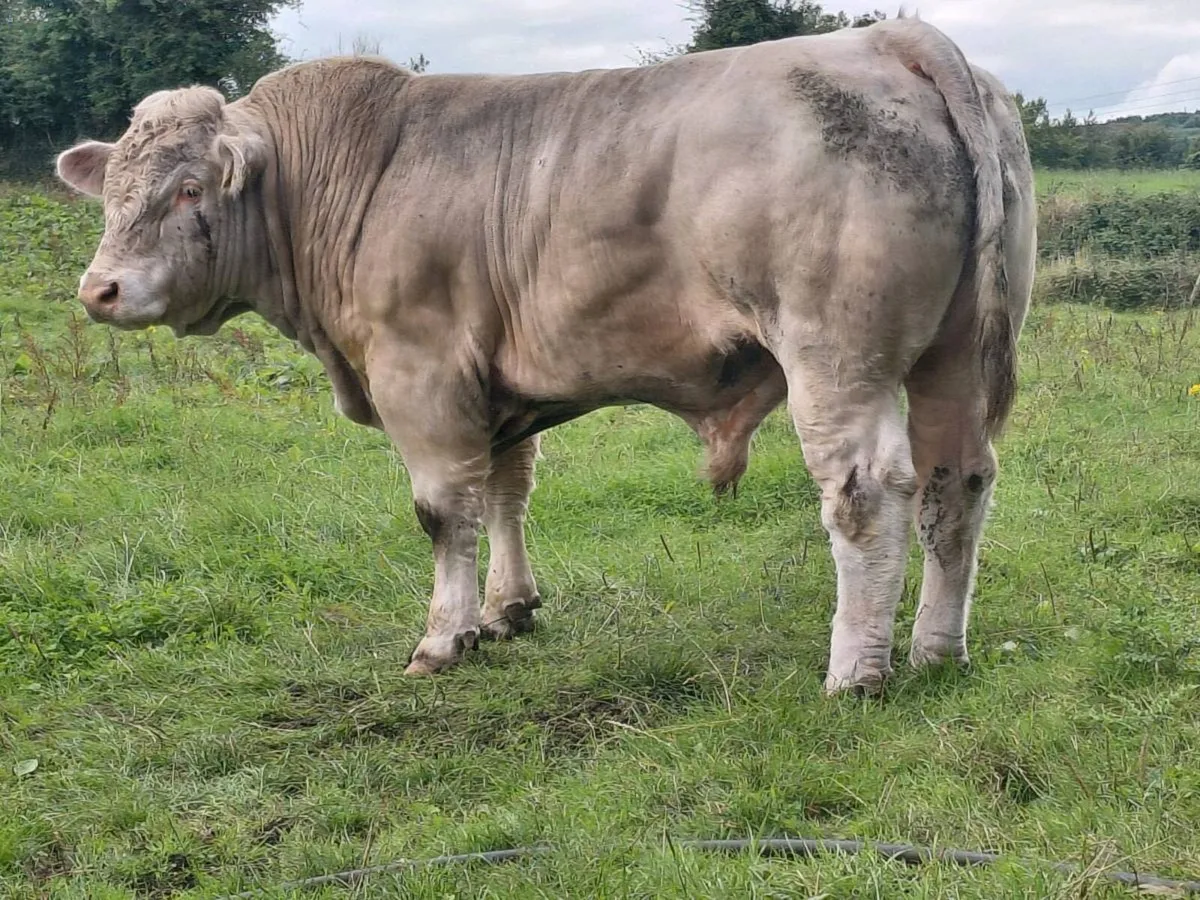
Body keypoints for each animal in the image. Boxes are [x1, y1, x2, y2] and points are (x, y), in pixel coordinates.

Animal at [54, 13, 1036, 695]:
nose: (99, 290)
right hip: (953, 356)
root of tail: (890, 36)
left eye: (189, 190)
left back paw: (856, 672)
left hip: (836, 357)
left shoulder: (421, 374)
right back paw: (935, 650)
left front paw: (443, 638)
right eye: (114, 191)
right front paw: (508, 610)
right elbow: (506, 491)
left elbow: (443, 511)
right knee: (957, 480)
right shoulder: (493, 387)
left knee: (868, 492)